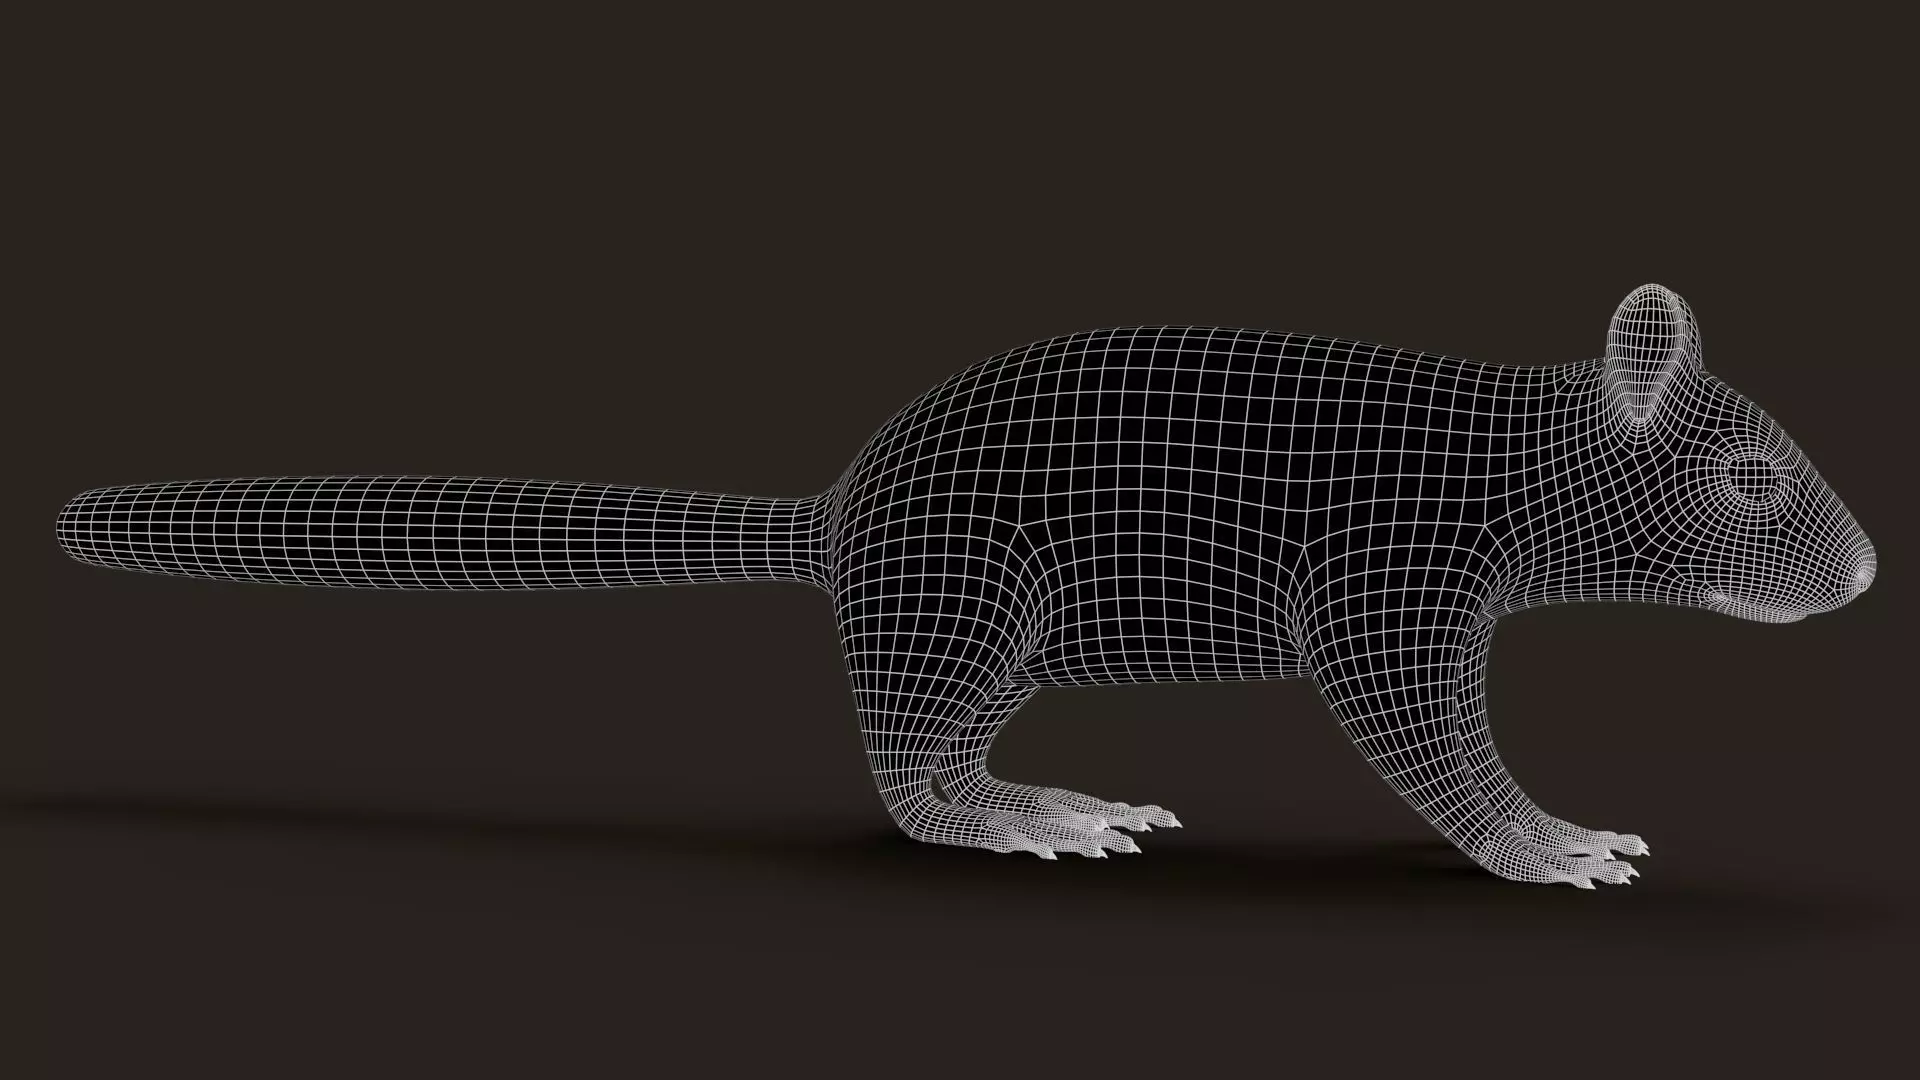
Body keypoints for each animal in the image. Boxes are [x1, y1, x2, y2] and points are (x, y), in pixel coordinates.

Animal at [57, 284, 1876, 887]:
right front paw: (1547, 844)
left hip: (993, 636)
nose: (1867, 573)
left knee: (937, 752)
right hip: (964, 601)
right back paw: (1015, 824)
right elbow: (1424, 731)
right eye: (1751, 479)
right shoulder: (1392, 578)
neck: (1516, 453)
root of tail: (844, 516)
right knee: (909, 779)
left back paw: (1039, 793)